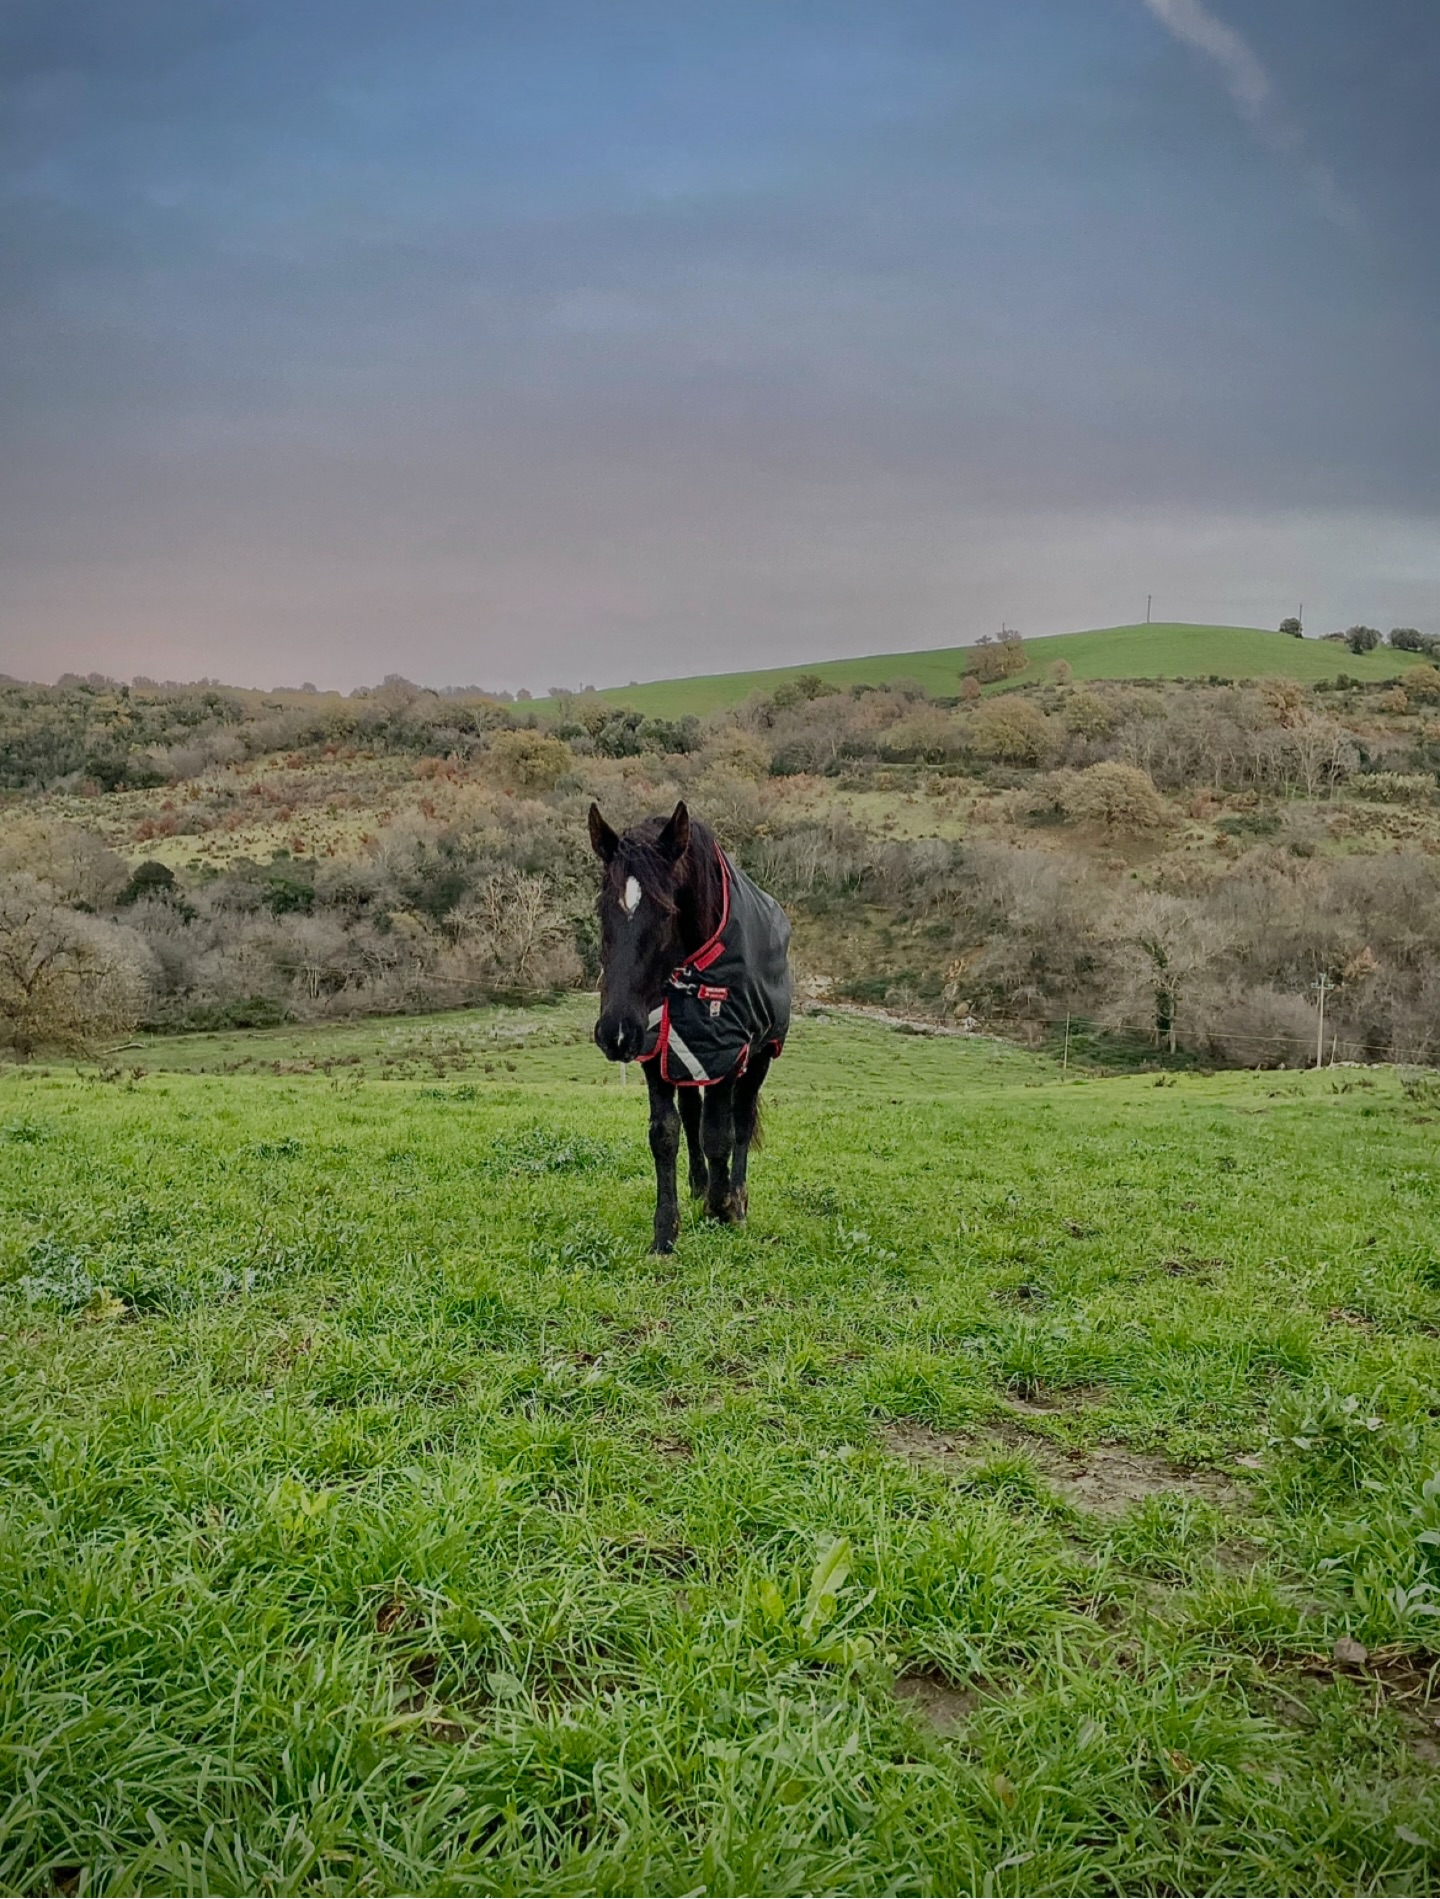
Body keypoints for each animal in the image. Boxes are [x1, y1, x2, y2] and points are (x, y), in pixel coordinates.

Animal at [588, 800, 791, 1253]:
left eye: (667, 913)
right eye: (602, 909)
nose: (615, 1032)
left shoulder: (725, 1050)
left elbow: (719, 1132)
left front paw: (723, 1207)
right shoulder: (655, 1049)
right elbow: (665, 1134)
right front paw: (666, 1232)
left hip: (761, 1055)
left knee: (741, 1120)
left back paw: (735, 1195)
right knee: (693, 1112)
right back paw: (700, 1185)